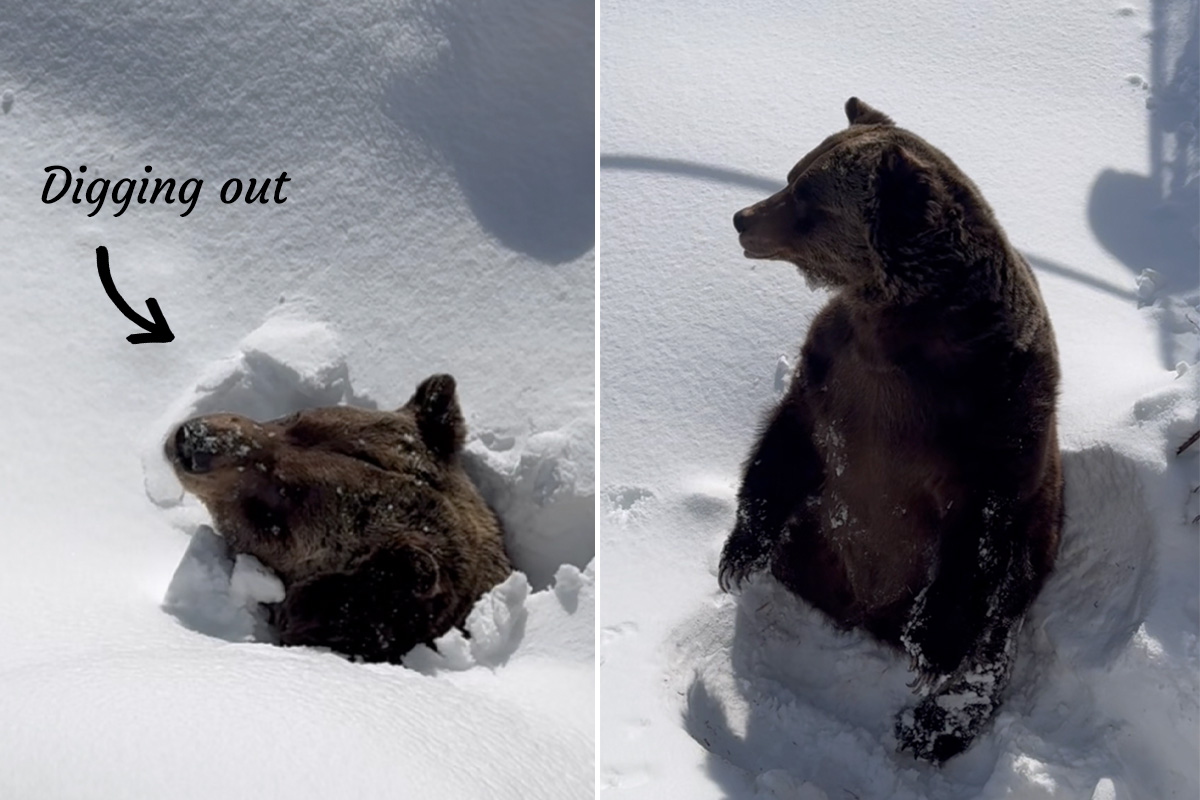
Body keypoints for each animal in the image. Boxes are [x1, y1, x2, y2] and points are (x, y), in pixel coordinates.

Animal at [715, 98, 1065, 762]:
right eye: (794, 172)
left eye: (807, 197)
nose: (742, 218)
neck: (901, 324)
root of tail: (863, 613)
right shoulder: (834, 371)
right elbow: (786, 444)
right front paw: (738, 551)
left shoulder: (994, 413)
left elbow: (980, 533)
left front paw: (932, 646)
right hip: (817, 539)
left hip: (1038, 536)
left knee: (998, 624)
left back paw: (931, 724)